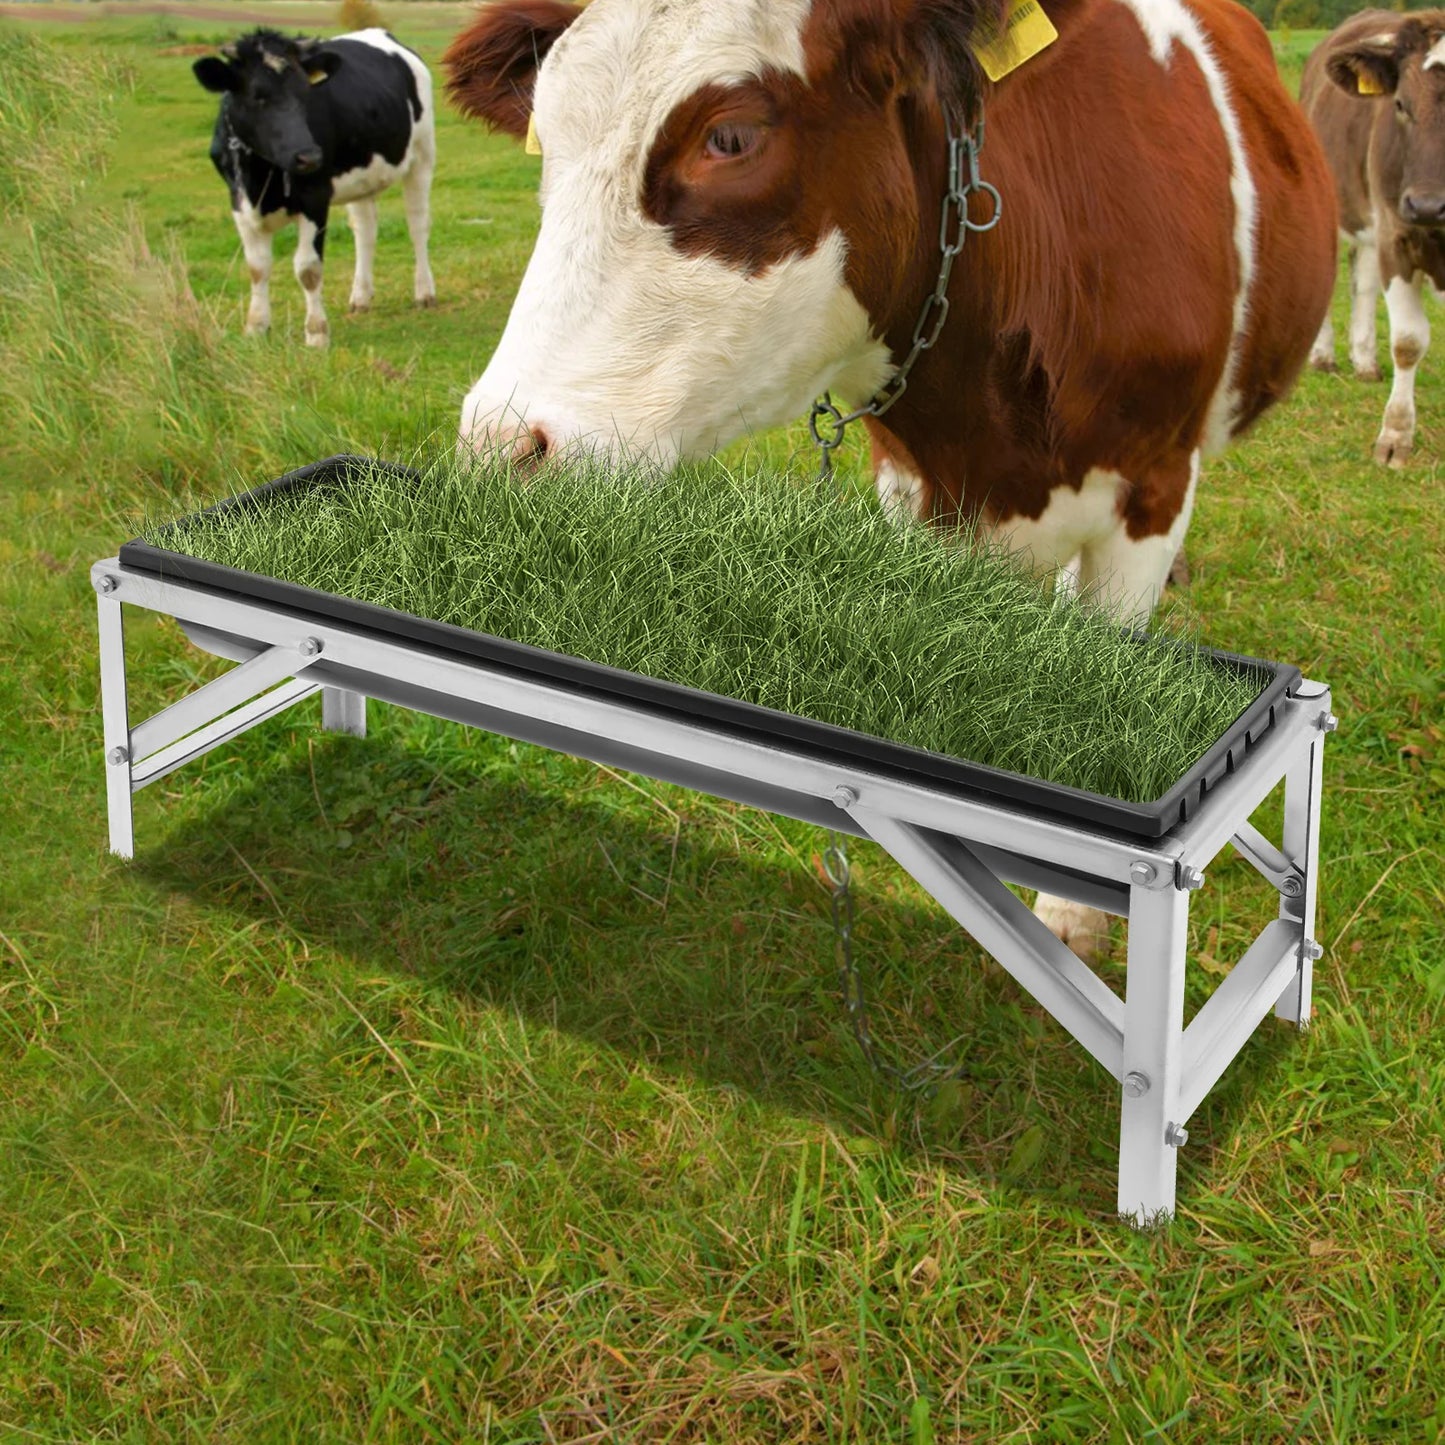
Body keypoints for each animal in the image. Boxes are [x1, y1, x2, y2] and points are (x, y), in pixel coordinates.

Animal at [193, 28, 437, 347]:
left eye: (305, 95)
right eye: (258, 96)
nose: (309, 156)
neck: (260, 176)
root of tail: (381, 33)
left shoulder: (315, 197)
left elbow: (307, 268)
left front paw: (316, 333)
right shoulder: (238, 201)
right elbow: (257, 267)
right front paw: (256, 327)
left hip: (422, 156)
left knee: (417, 224)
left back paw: (424, 291)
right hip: (361, 178)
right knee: (365, 230)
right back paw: (361, 296)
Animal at [442, 0, 1336, 960]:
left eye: (729, 136)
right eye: (546, 135)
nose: (503, 446)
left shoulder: (1153, 484)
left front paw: (1071, 913)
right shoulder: (910, 489)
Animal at [1303, 11, 1445, 467]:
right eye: (1400, 104)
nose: (1427, 205)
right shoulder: (1395, 238)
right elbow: (1408, 342)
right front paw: (1396, 435)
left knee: (1362, 283)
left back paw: (1364, 361)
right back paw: (1324, 356)